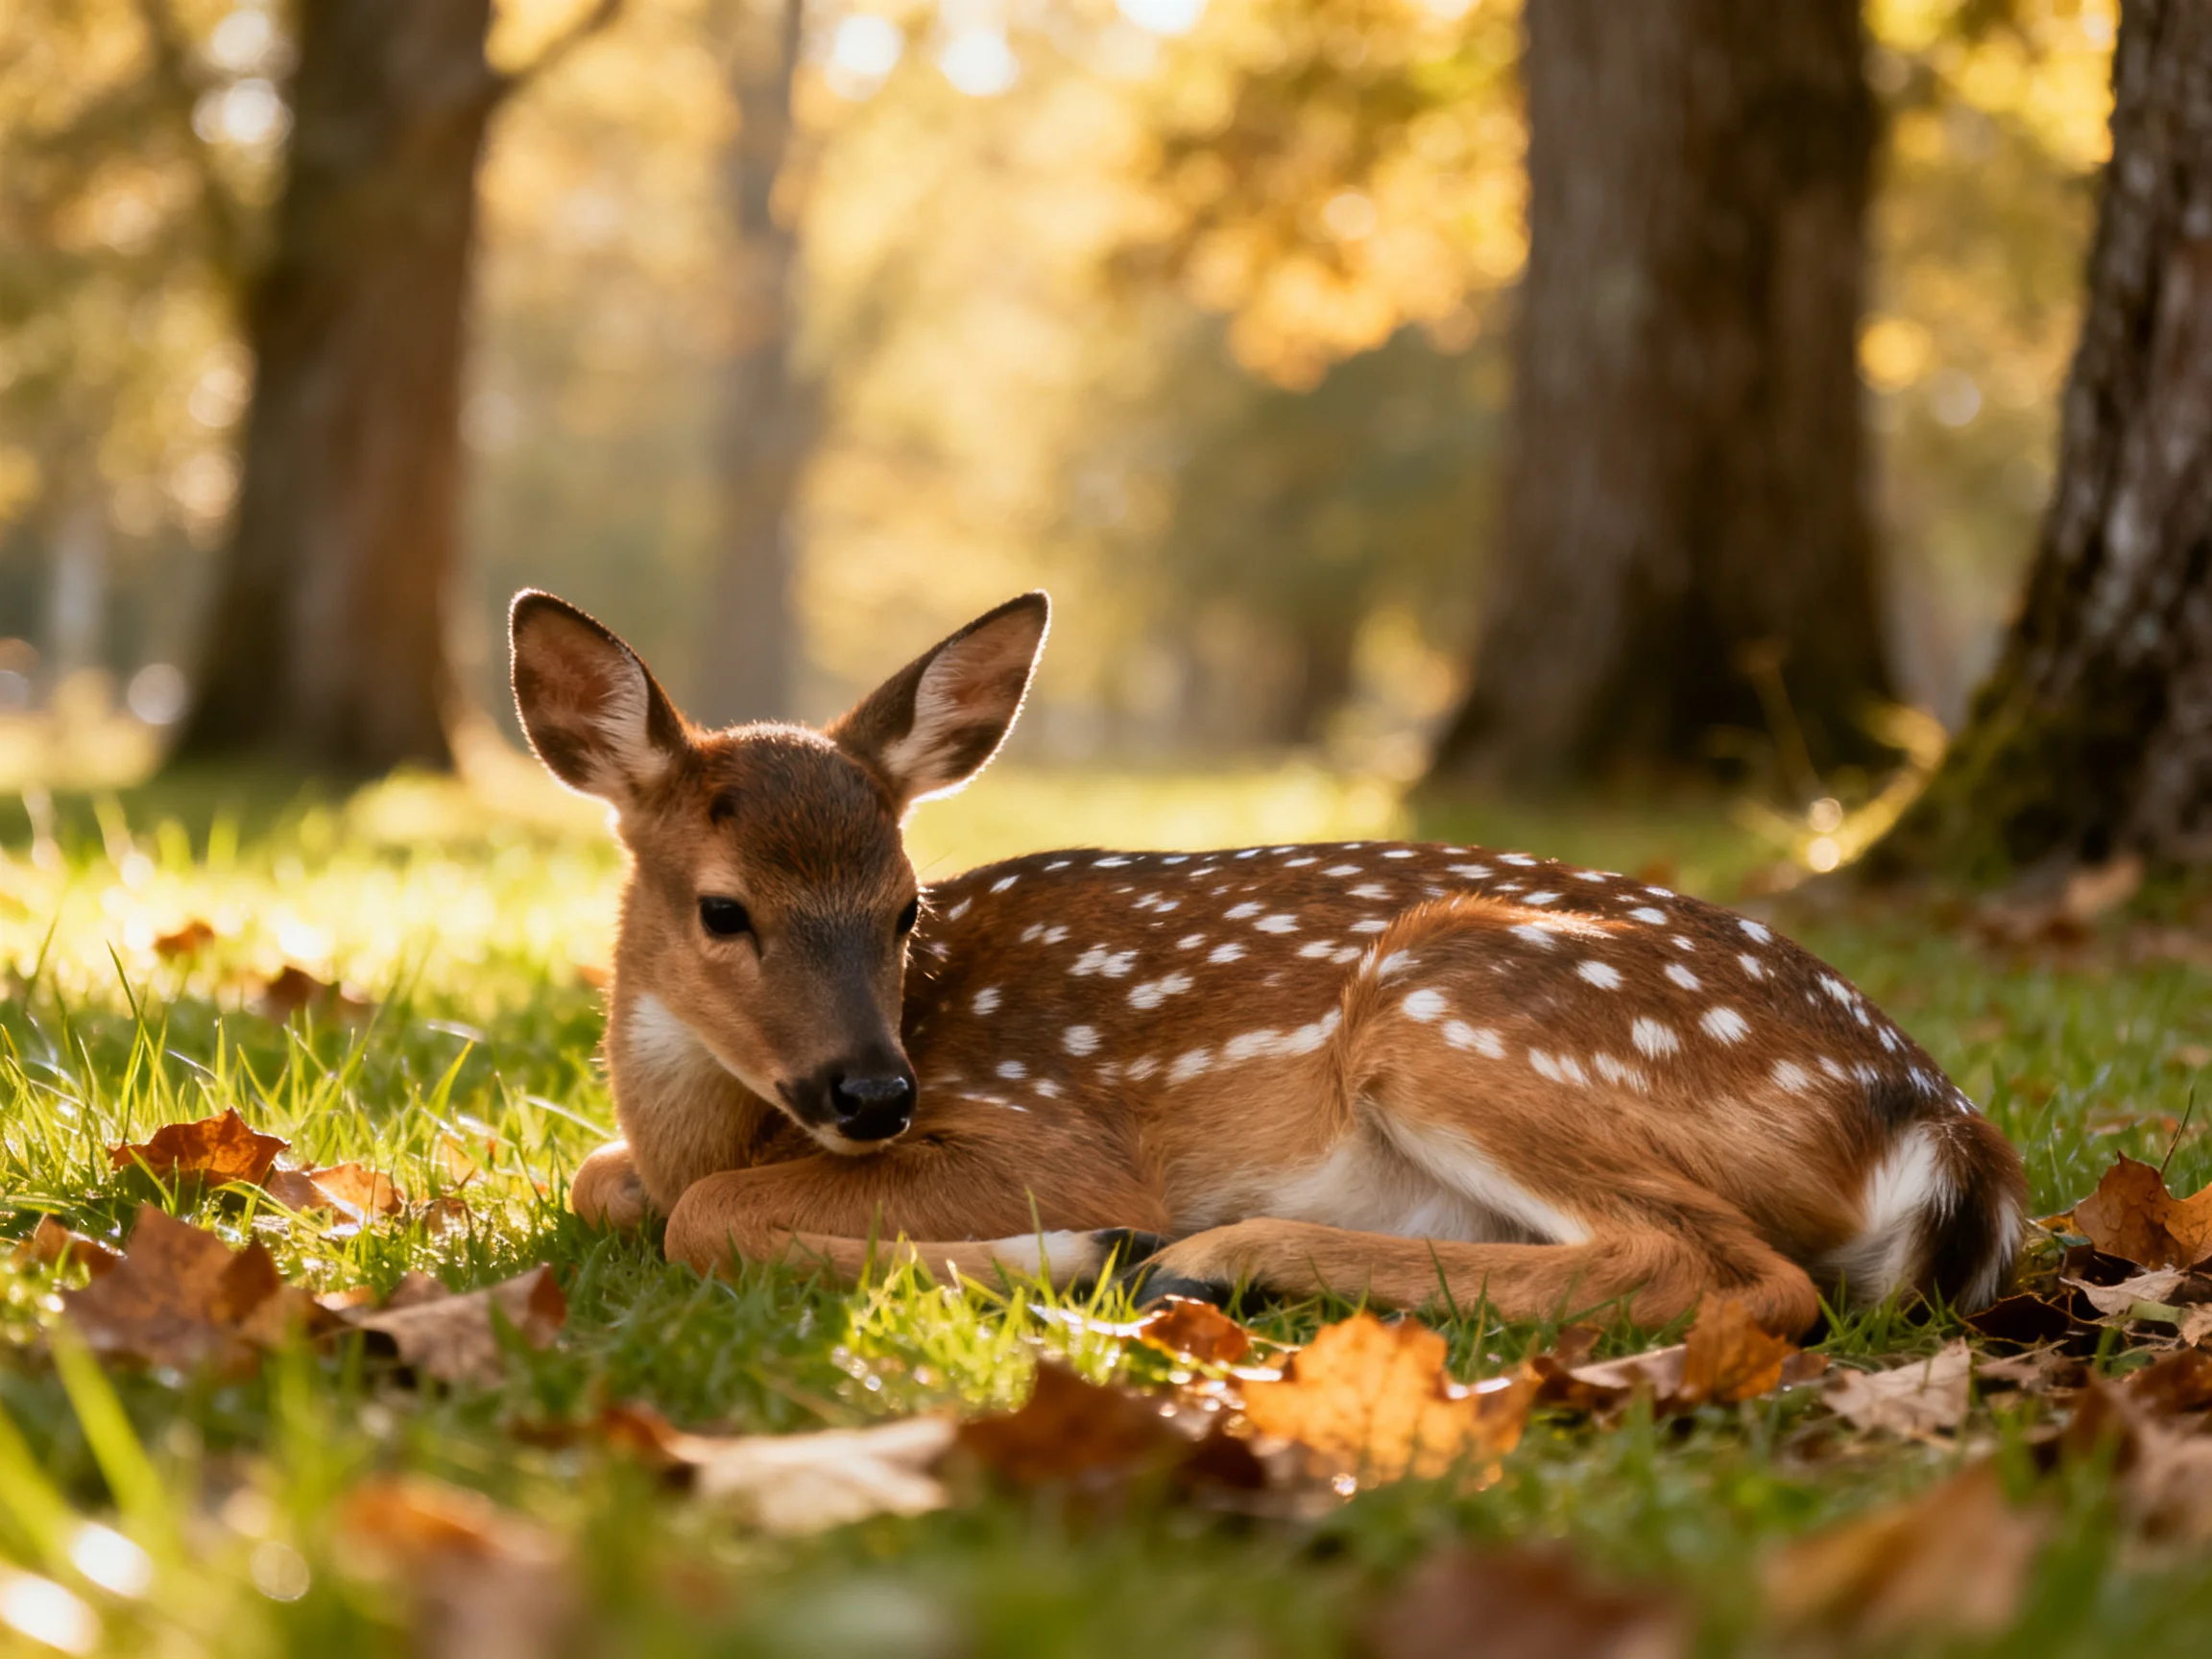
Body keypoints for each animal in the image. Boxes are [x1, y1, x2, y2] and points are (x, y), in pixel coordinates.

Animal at [510, 587, 2026, 1335]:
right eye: (722, 911)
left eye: (904, 907)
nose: (874, 1094)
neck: (725, 1124)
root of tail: (1940, 1128)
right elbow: (604, 1180)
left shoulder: (1045, 1130)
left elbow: (704, 1220)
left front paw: (1076, 1248)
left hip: (1448, 1001)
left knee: (1729, 1276)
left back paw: (1211, 1259)